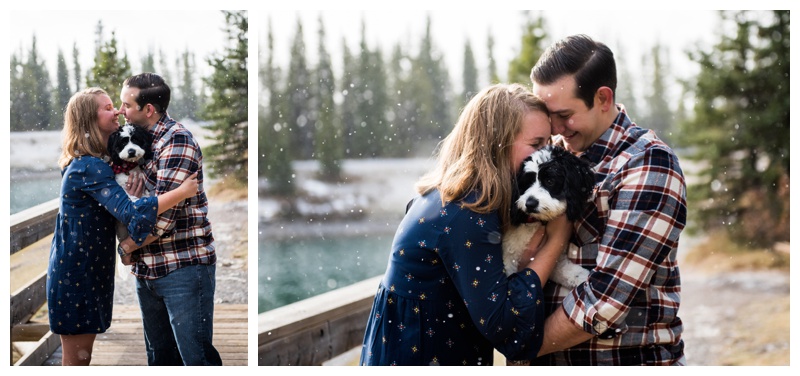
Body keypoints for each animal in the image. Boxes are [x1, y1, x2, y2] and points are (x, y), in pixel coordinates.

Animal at [504, 145, 596, 288]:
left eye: (550, 181)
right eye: (527, 183)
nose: (530, 203)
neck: (538, 222)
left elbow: (565, 270)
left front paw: (581, 277)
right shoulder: (508, 257)